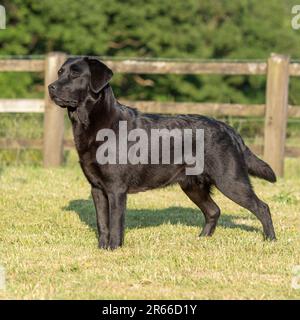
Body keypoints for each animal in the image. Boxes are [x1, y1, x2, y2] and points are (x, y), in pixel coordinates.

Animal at [48, 57, 276, 250]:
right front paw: (102, 249)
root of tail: (228, 128)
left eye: (75, 74)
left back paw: (270, 240)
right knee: (214, 211)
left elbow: (115, 224)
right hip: (192, 185)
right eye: (60, 72)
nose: (51, 87)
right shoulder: (97, 188)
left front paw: (114, 249)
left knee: (262, 207)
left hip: (230, 181)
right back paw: (202, 239)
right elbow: (102, 223)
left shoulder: (115, 189)